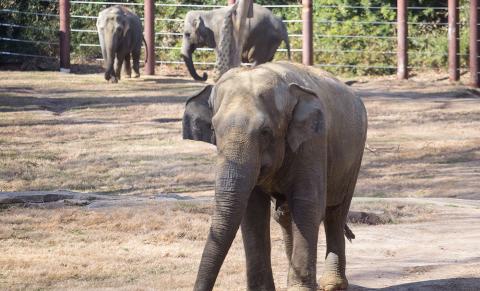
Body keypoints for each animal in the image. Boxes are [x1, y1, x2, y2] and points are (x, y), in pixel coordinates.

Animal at [183, 61, 368, 291]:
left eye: (265, 131)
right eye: (214, 130)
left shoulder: (312, 142)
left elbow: (308, 205)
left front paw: (300, 289)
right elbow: (253, 211)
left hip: (355, 156)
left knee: (336, 212)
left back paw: (332, 285)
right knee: (284, 215)